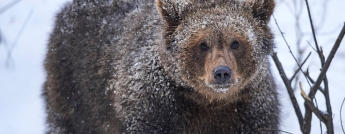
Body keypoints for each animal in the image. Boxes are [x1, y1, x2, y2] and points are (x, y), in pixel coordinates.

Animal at [43, 0, 280, 133]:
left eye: (236, 42)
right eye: (202, 44)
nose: (221, 73)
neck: (207, 102)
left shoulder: (250, 111)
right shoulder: (153, 108)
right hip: (73, 92)